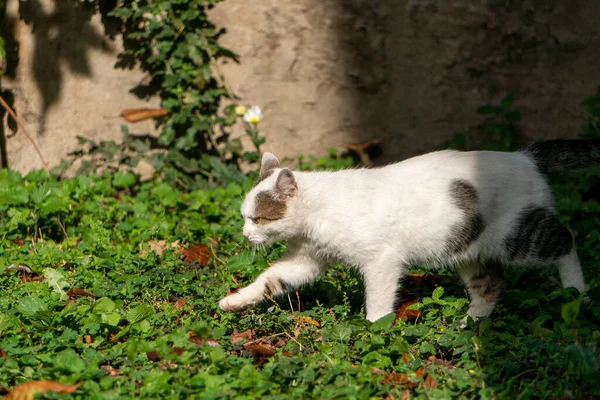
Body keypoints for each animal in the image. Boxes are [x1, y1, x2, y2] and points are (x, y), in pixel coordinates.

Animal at [218, 139, 592, 324]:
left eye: (259, 219)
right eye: (246, 217)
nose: (246, 235)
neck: (320, 213)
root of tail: (525, 157)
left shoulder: (382, 261)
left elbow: (378, 300)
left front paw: (375, 328)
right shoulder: (306, 259)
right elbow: (270, 280)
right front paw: (235, 300)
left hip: (517, 237)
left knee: (567, 239)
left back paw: (577, 293)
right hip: (468, 249)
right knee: (490, 286)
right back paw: (471, 323)